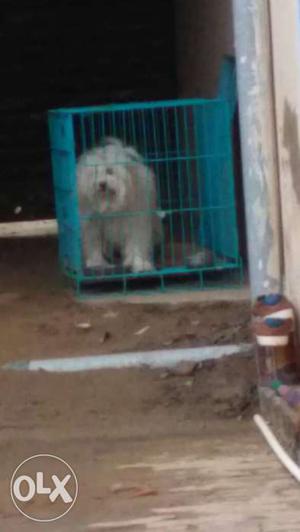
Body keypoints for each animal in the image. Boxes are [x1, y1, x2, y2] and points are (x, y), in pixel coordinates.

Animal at [77, 137, 162, 272]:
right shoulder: (92, 226)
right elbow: (94, 244)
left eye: (110, 171)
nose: (102, 184)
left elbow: (136, 243)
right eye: (95, 173)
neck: (112, 205)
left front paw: (139, 264)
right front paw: (97, 263)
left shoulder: (136, 223)